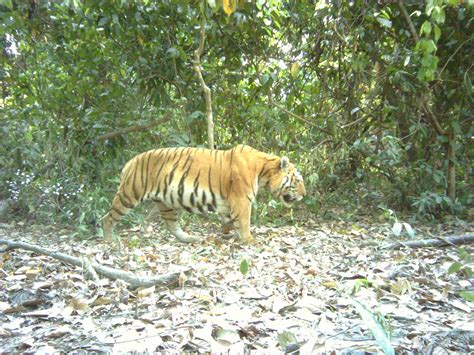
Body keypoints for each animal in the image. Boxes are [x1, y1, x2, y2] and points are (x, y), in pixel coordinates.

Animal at [102, 145, 306, 245]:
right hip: (129, 194)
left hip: (165, 203)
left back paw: (188, 239)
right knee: (108, 217)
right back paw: (108, 240)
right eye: (297, 181)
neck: (264, 172)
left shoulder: (229, 203)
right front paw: (249, 240)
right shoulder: (242, 200)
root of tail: (130, 162)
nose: (304, 195)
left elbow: (230, 220)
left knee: (172, 225)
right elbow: (245, 222)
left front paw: (227, 231)